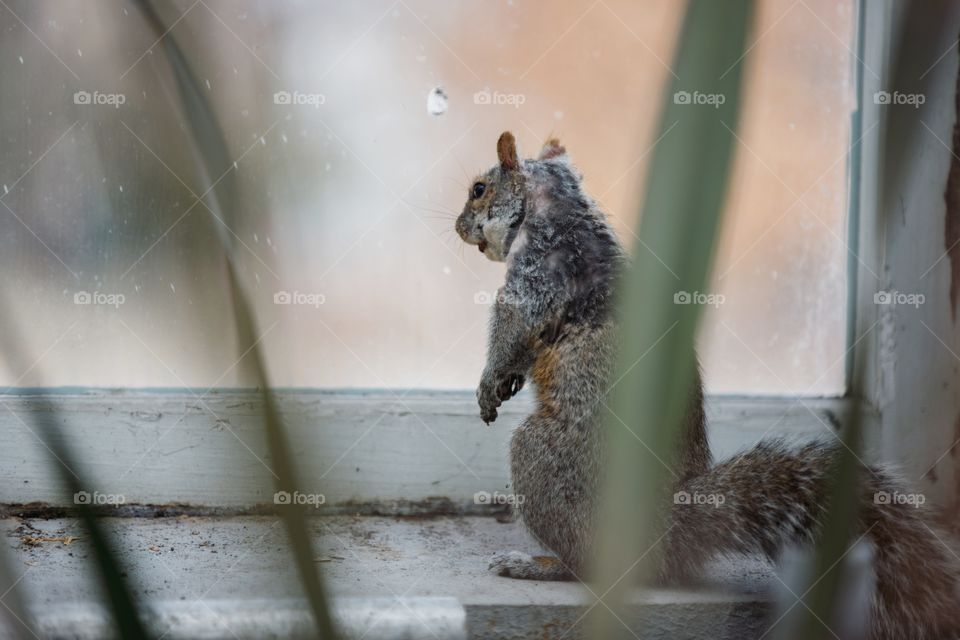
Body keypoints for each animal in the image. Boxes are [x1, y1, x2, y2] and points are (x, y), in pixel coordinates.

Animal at [455, 130, 960, 639]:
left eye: (479, 189)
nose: (459, 228)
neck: (558, 209)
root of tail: (667, 532)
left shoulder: (537, 278)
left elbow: (512, 330)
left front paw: (488, 384)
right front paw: (506, 383)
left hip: (545, 463)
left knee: (592, 565)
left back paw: (536, 565)